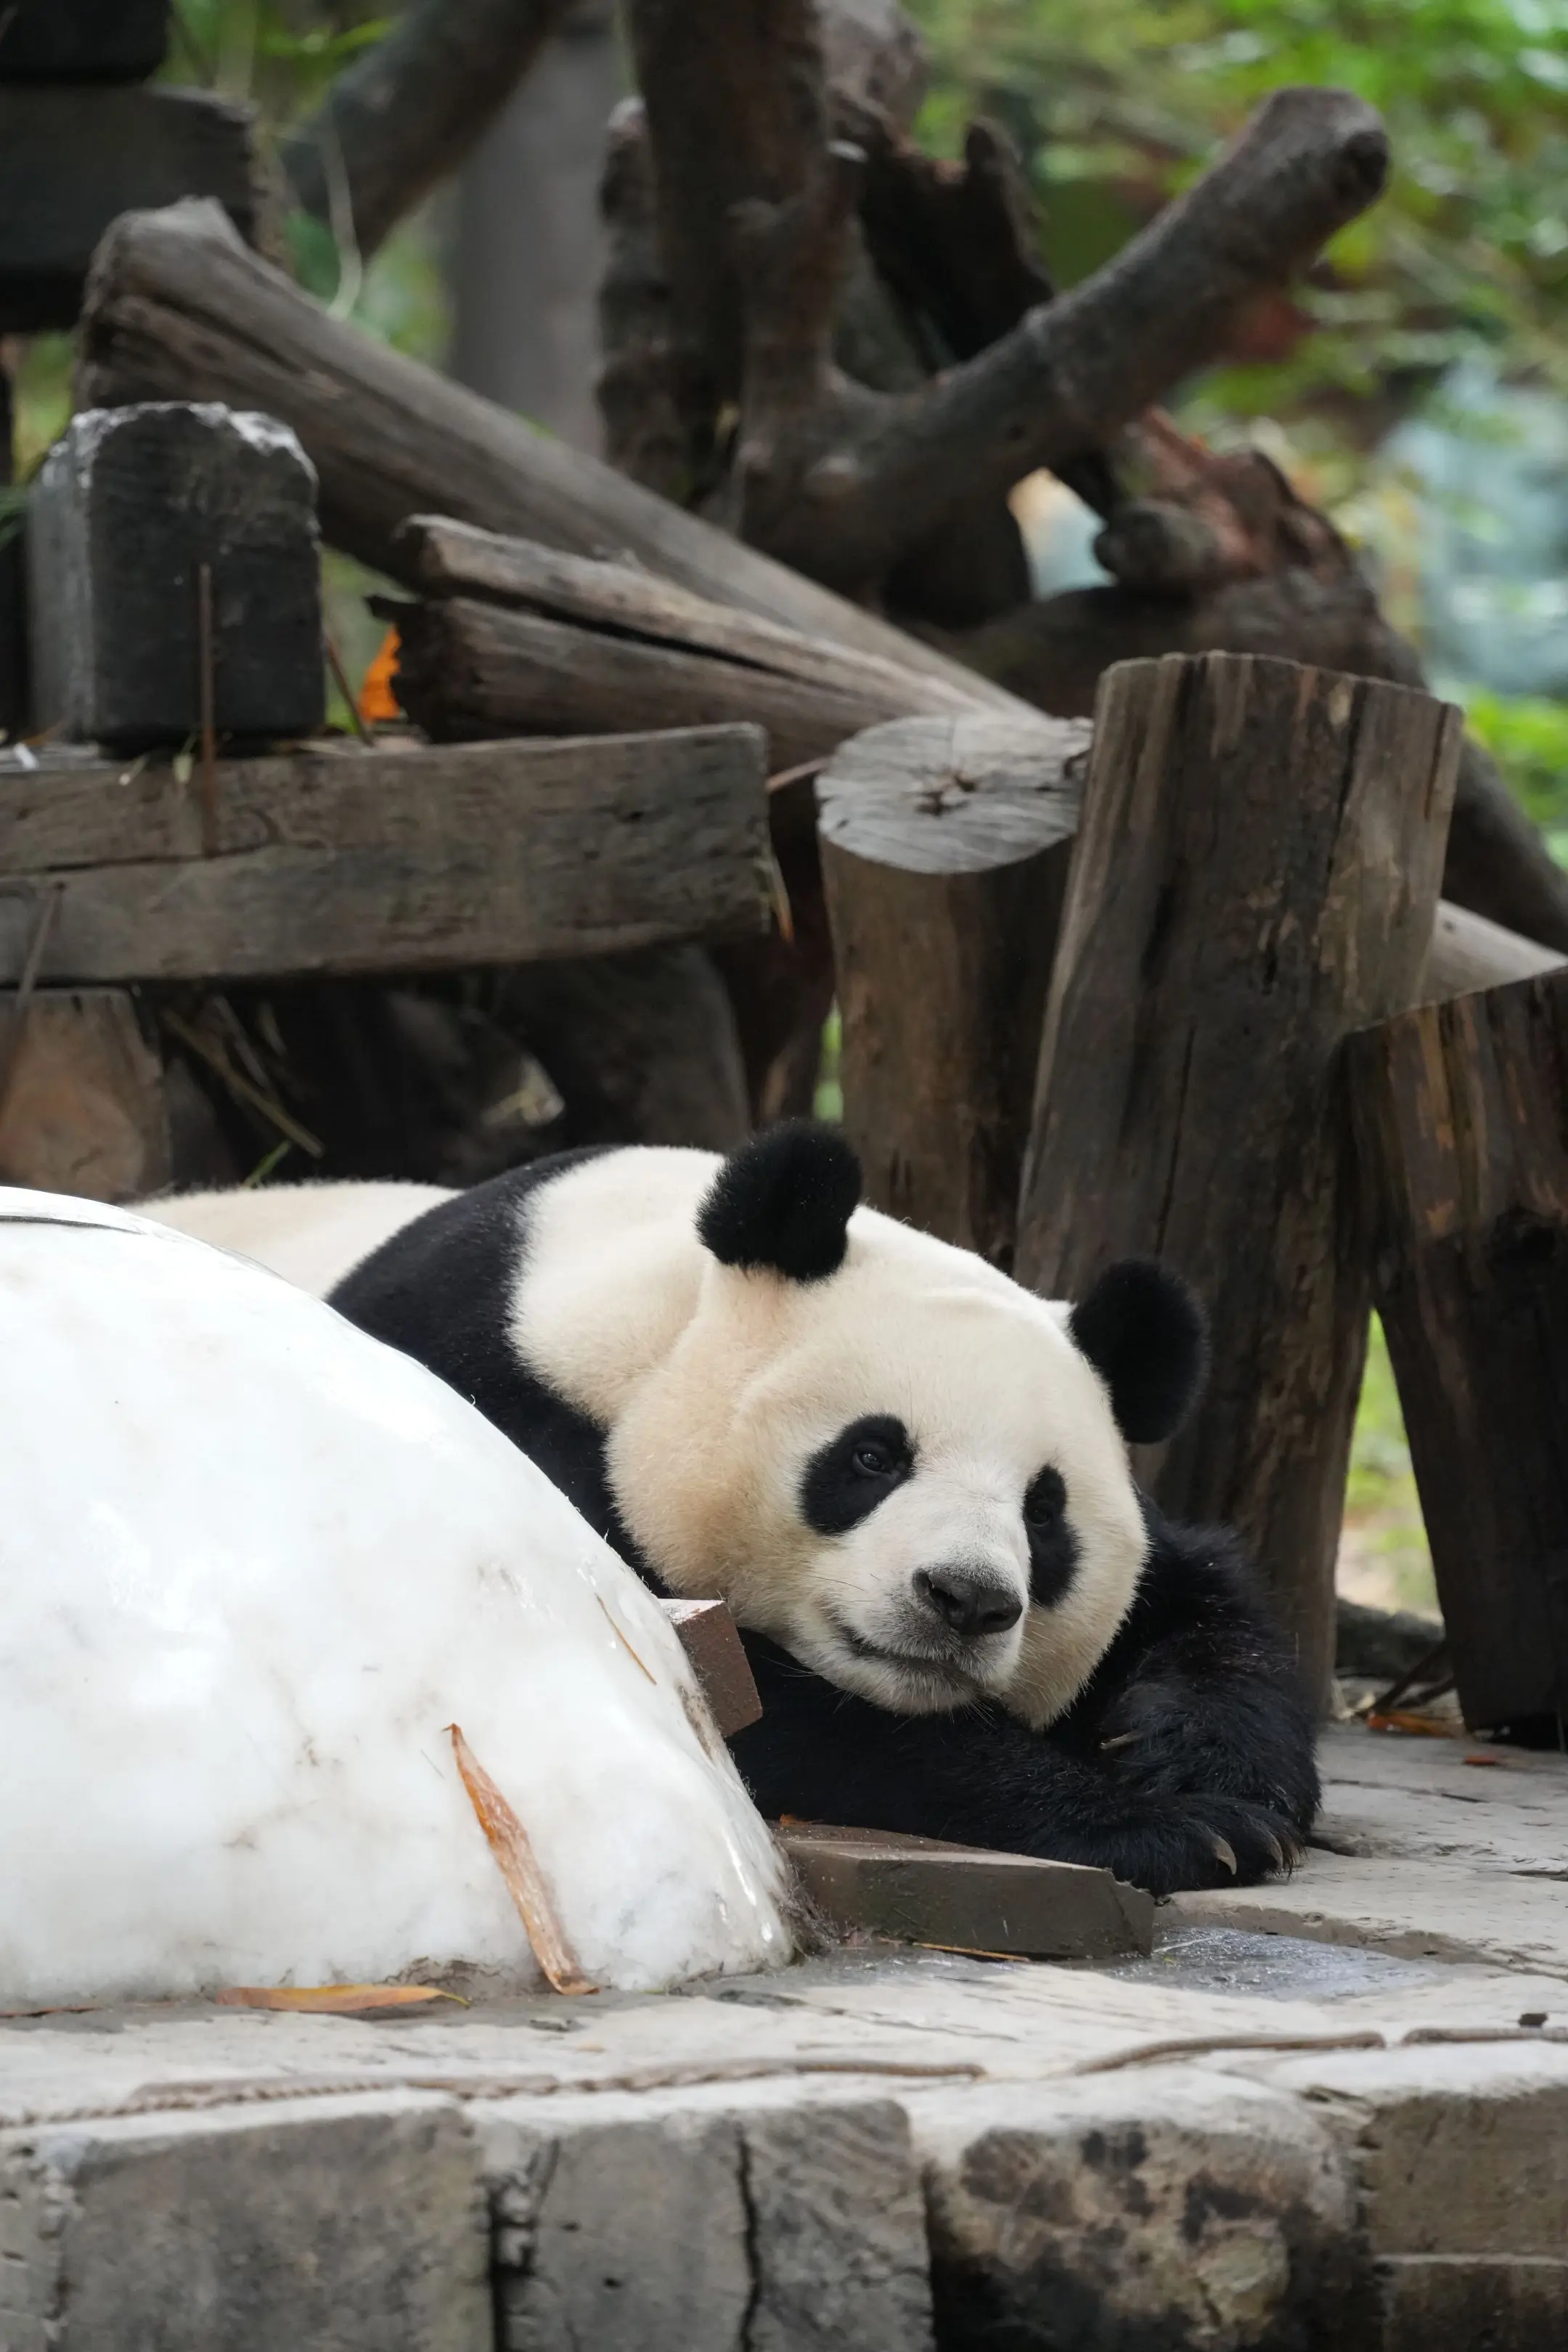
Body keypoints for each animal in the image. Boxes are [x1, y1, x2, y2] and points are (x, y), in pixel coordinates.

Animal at [152, 1124, 1318, 1895]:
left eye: (1045, 1515)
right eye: (871, 1455)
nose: (966, 1599)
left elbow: (1204, 1600)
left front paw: (1214, 1775)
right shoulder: (505, 1411)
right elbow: (743, 1705)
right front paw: (1174, 1827)